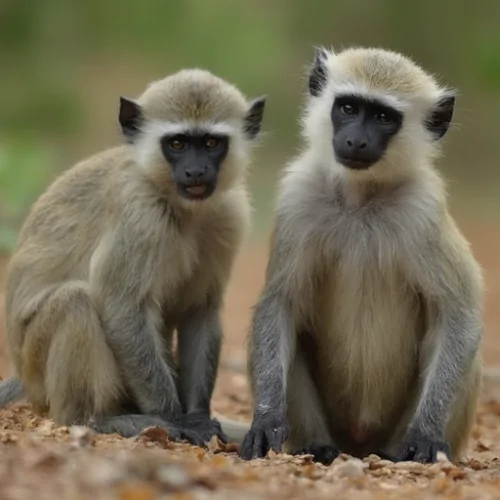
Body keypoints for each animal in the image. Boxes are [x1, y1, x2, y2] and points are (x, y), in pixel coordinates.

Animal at [0, 67, 266, 446]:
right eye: (178, 144)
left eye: (211, 144)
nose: (196, 172)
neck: (180, 207)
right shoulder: (139, 212)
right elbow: (121, 309)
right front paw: (178, 420)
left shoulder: (228, 215)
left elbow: (198, 310)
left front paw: (197, 416)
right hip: (37, 370)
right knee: (75, 301)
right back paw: (94, 420)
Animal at [241, 46, 484, 464]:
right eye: (349, 108)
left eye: (384, 118)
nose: (356, 141)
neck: (359, 199)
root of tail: (359, 443)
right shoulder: (298, 196)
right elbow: (280, 304)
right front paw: (266, 420)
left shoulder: (422, 208)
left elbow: (459, 315)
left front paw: (426, 433)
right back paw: (317, 446)